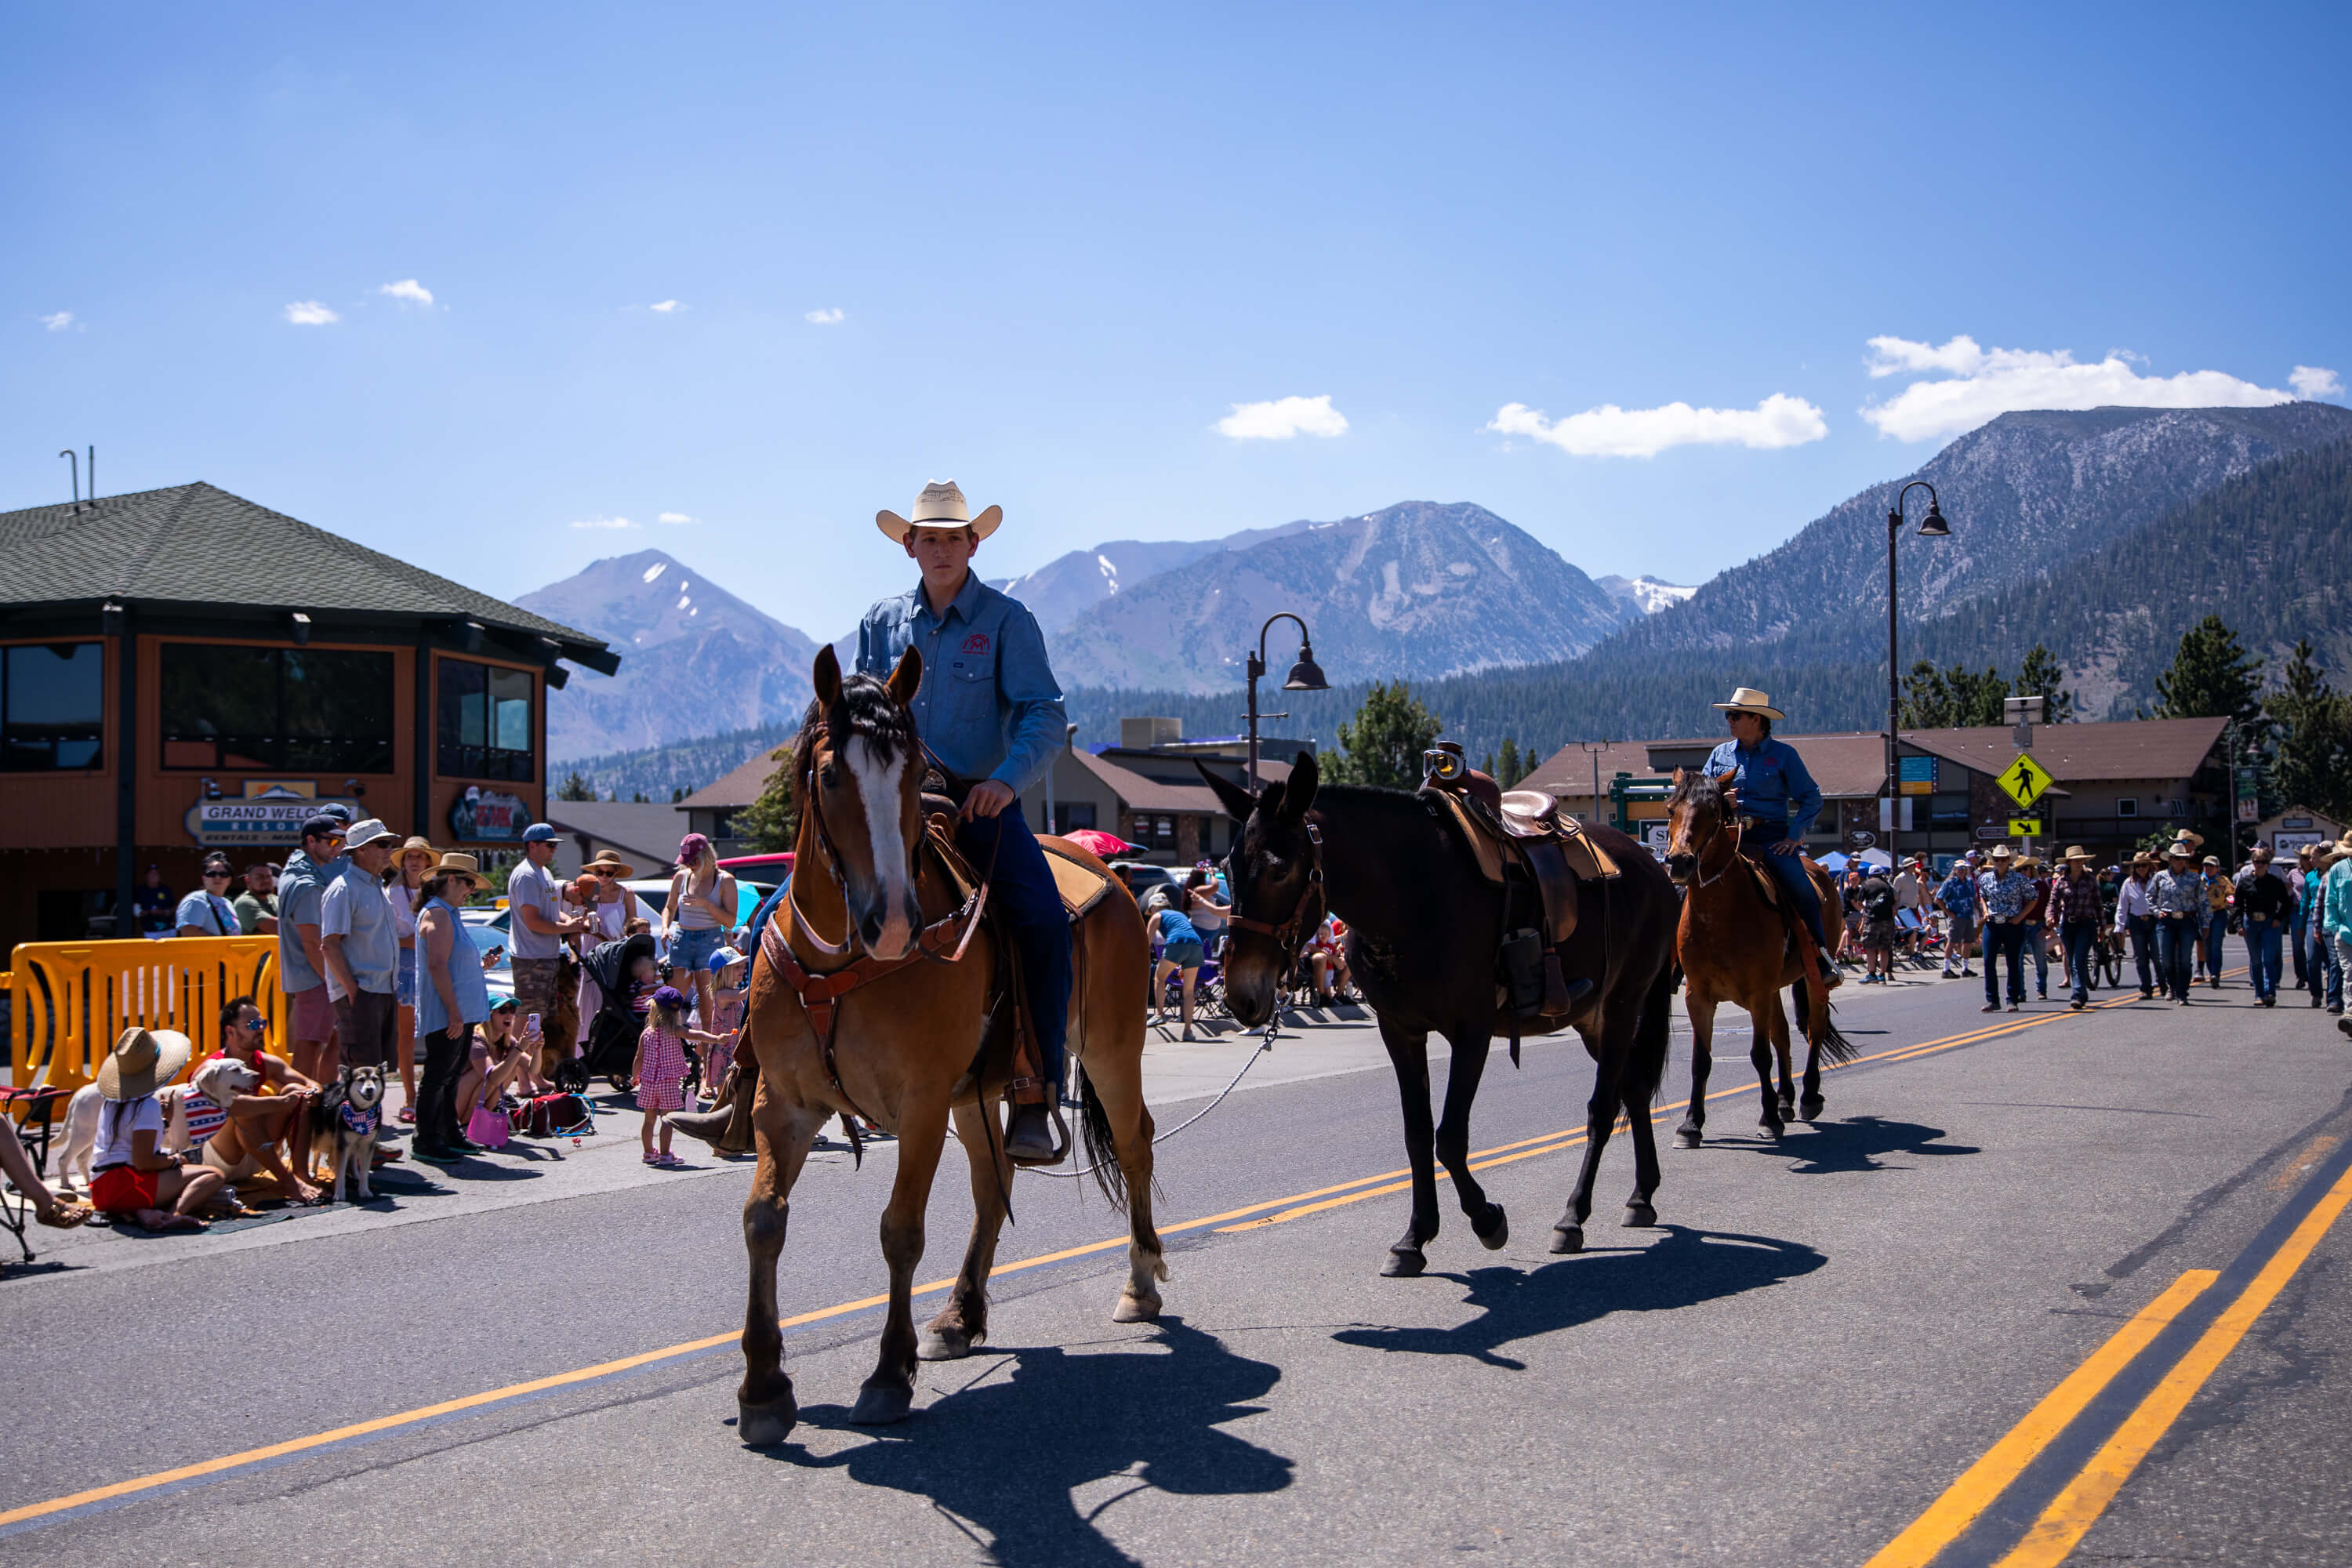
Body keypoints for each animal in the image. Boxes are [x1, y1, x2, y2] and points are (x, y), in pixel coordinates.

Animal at [315, 1067, 388, 1203]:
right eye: (361, 1079)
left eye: (375, 1079)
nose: (370, 1089)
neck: (361, 1113)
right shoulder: (342, 1144)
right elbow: (340, 1170)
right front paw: (339, 1194)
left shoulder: (367, 1144)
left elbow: (364, 1171)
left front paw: (364, 1190)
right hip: (324, 1134)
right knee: (317, 1152)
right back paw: (312, 1172)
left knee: (353, 1157)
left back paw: (355, 1175)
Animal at [729, 648, 1162, 1448]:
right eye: (830, 775)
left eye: (910, 774)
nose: (894, 921)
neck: (844, 964)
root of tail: (1115, 878)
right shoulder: (784, 1105)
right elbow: (764, 1219)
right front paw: (764, 1389)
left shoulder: (922, 1104)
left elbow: (901, 1231)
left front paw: (886, 1376)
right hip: (982, 1092)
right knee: (996, 1185)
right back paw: (960, 1316)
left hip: (1112, 1053)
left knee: (1135, 1143)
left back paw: (1140, 1281)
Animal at [1665, 771, 1844, 1147]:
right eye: (1671, 808)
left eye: (1713, 811)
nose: (1680, 861)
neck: (1719, 915)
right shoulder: (1698, 997)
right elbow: (1701, 1060)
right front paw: (1691, 1124)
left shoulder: (1758, 994)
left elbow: (1760, 1055)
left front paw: (1768, 1119)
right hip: (1775, 990)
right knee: (1784, 1036)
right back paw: (1786, 1101)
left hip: (1812, 981)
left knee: (1815, 1029)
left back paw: (1808, 1096)